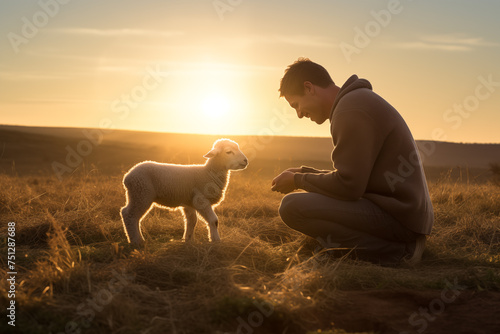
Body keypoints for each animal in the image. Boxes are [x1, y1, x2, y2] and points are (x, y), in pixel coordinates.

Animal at [119, 138, 248, 245]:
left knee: (132, 215)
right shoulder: (201, 200)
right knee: (129, 215)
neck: (208, 173)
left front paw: (188, 240)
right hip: (141, 193)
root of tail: (128, 176)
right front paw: (216, 240)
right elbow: (214, 221)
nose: (245, 161)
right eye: (228, 152)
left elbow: (191, 221)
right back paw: (136, 241)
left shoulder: (189, 203)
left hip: (137, 194)